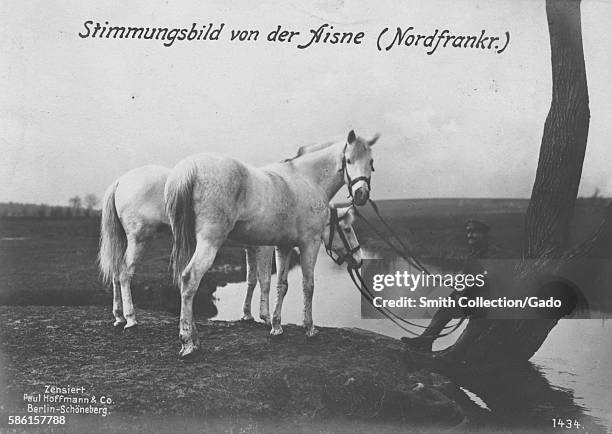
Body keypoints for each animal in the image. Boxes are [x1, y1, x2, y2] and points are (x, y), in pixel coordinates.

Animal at [167, 131, 378, 358]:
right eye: (348, 160)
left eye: (371, 162)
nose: (361, 195)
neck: (308, 180)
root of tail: (190, 168)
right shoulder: (309, 244)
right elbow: (307, 285)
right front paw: (309, 328)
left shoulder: (283, 246)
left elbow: (280, 285)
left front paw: (276, 326)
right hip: (210, 242)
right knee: (190, 278)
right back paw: (188, 342)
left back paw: (195, 339)